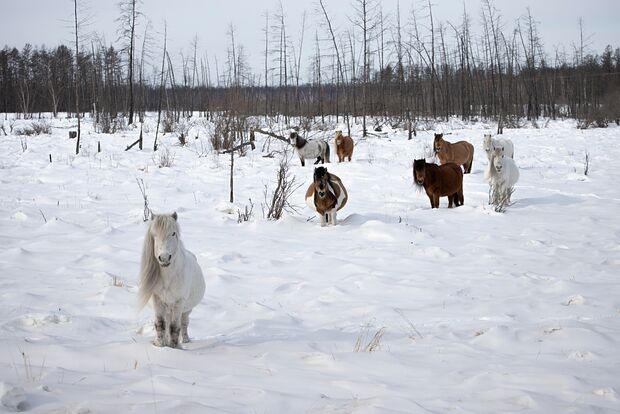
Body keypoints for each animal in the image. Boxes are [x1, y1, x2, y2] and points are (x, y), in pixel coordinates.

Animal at [137, 212, 205, 348]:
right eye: (154, 234)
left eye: (173, 233)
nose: (164, 258)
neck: (168, 278)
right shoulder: (157, 300)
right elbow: (161, 324)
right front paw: (160, 344)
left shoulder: (179, 302)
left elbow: (174, 327)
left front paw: (174, 347)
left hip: (186, 309)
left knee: (184, 323)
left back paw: (185, 340)